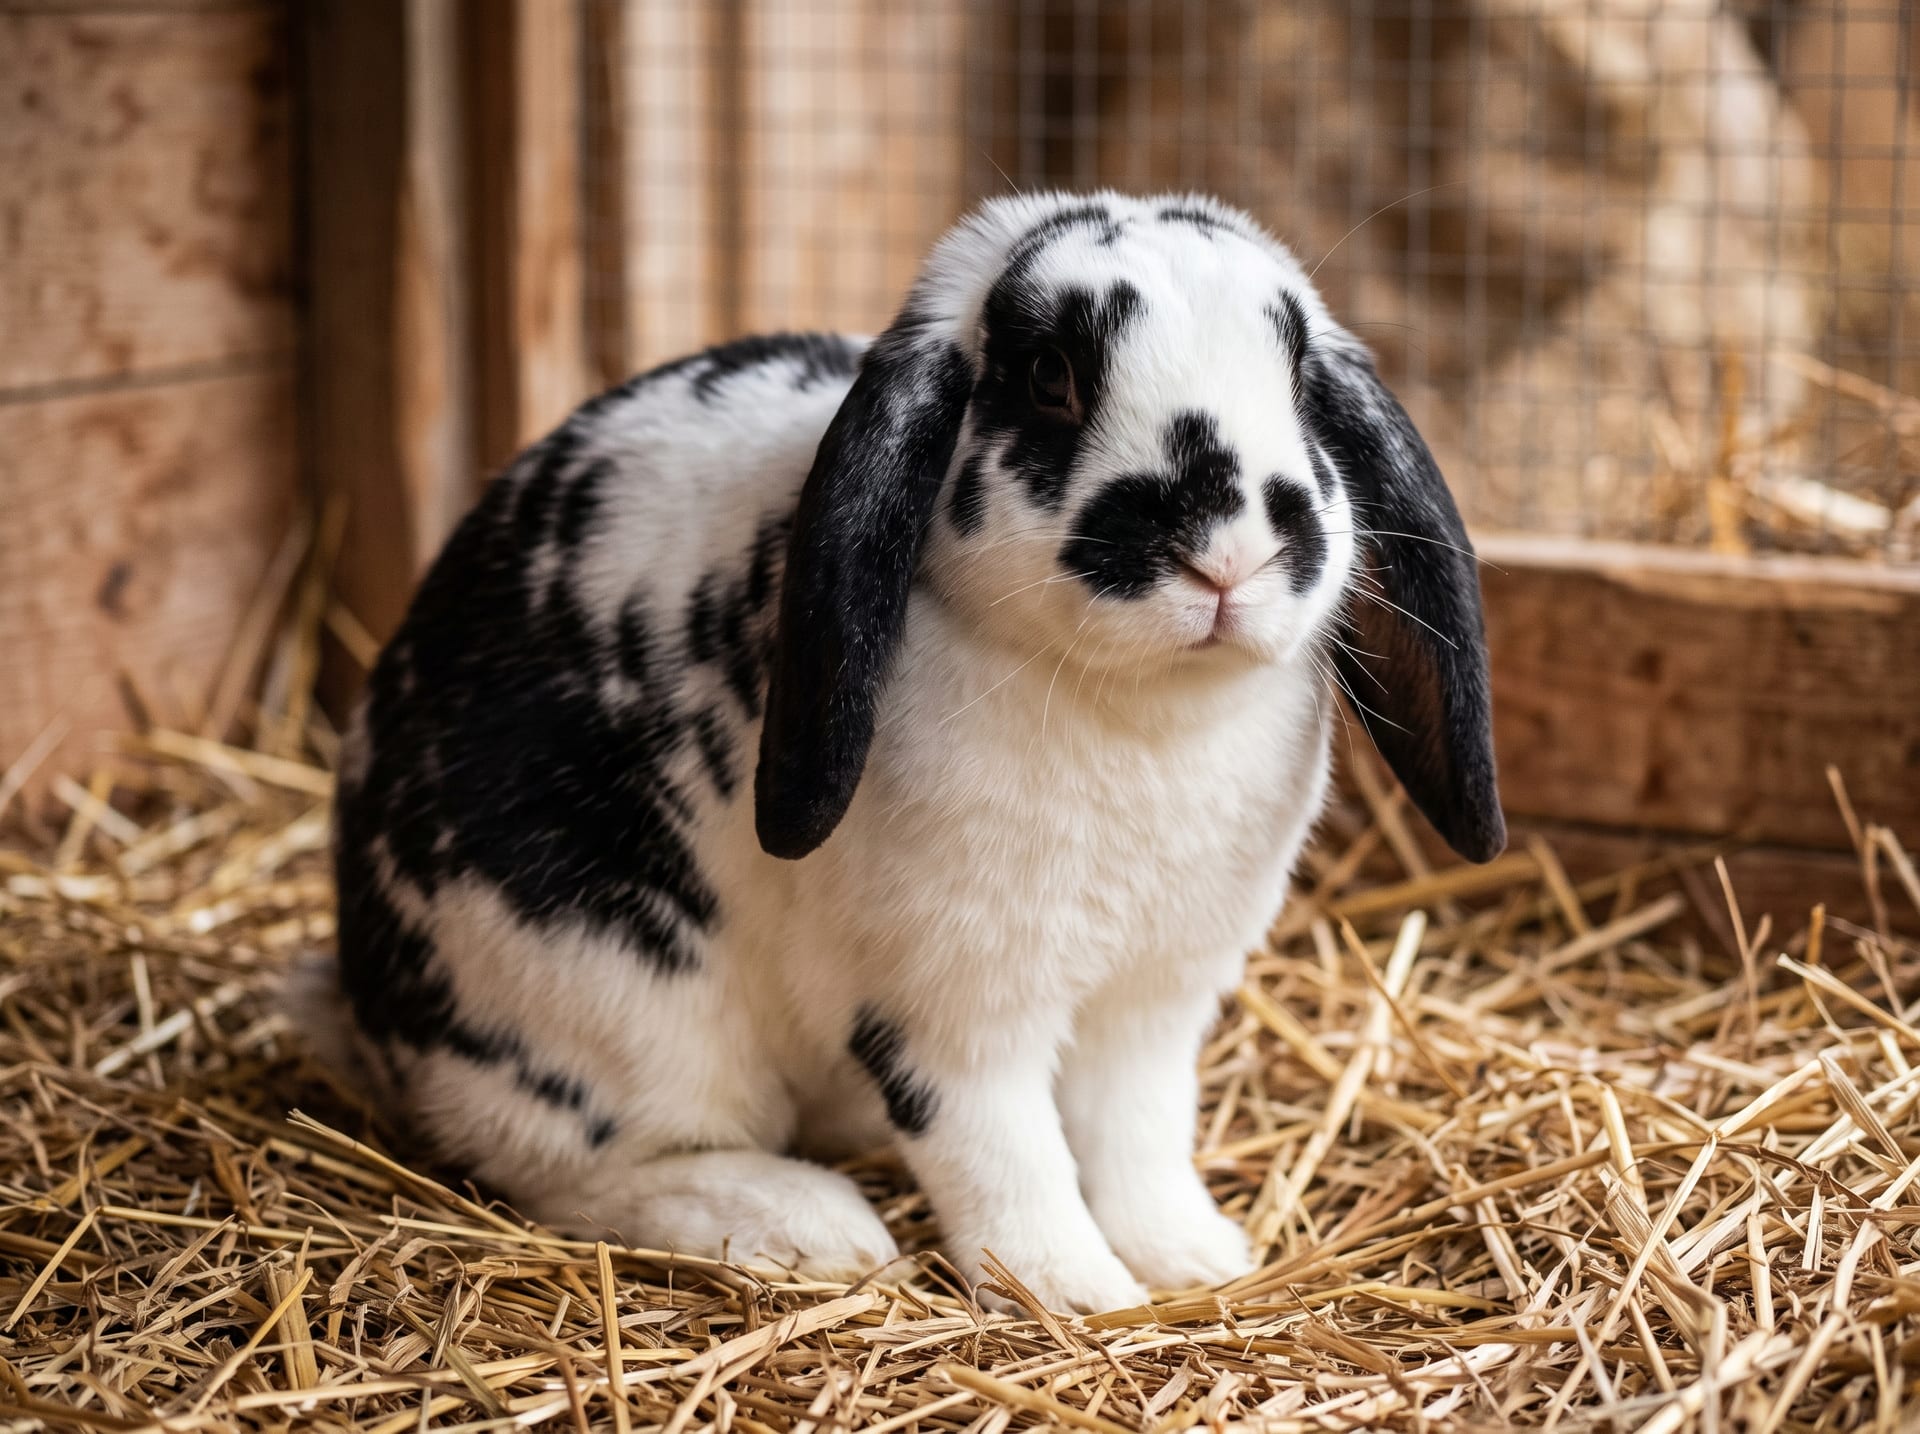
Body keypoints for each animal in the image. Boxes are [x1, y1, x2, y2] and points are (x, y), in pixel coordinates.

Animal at [326, 190, 1504, 1314]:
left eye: (1299, 377)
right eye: (1050, 376)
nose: (1231, 553)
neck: (1144, 712)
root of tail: (369, 1013)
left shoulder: (1157, 1000)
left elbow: (1137, 1136)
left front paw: (1192, 1261)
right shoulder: (956, 1008)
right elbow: (1005, 1153)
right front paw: (1071, 1294)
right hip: (618, 1006)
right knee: (579, 1168)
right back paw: (808, 1227)